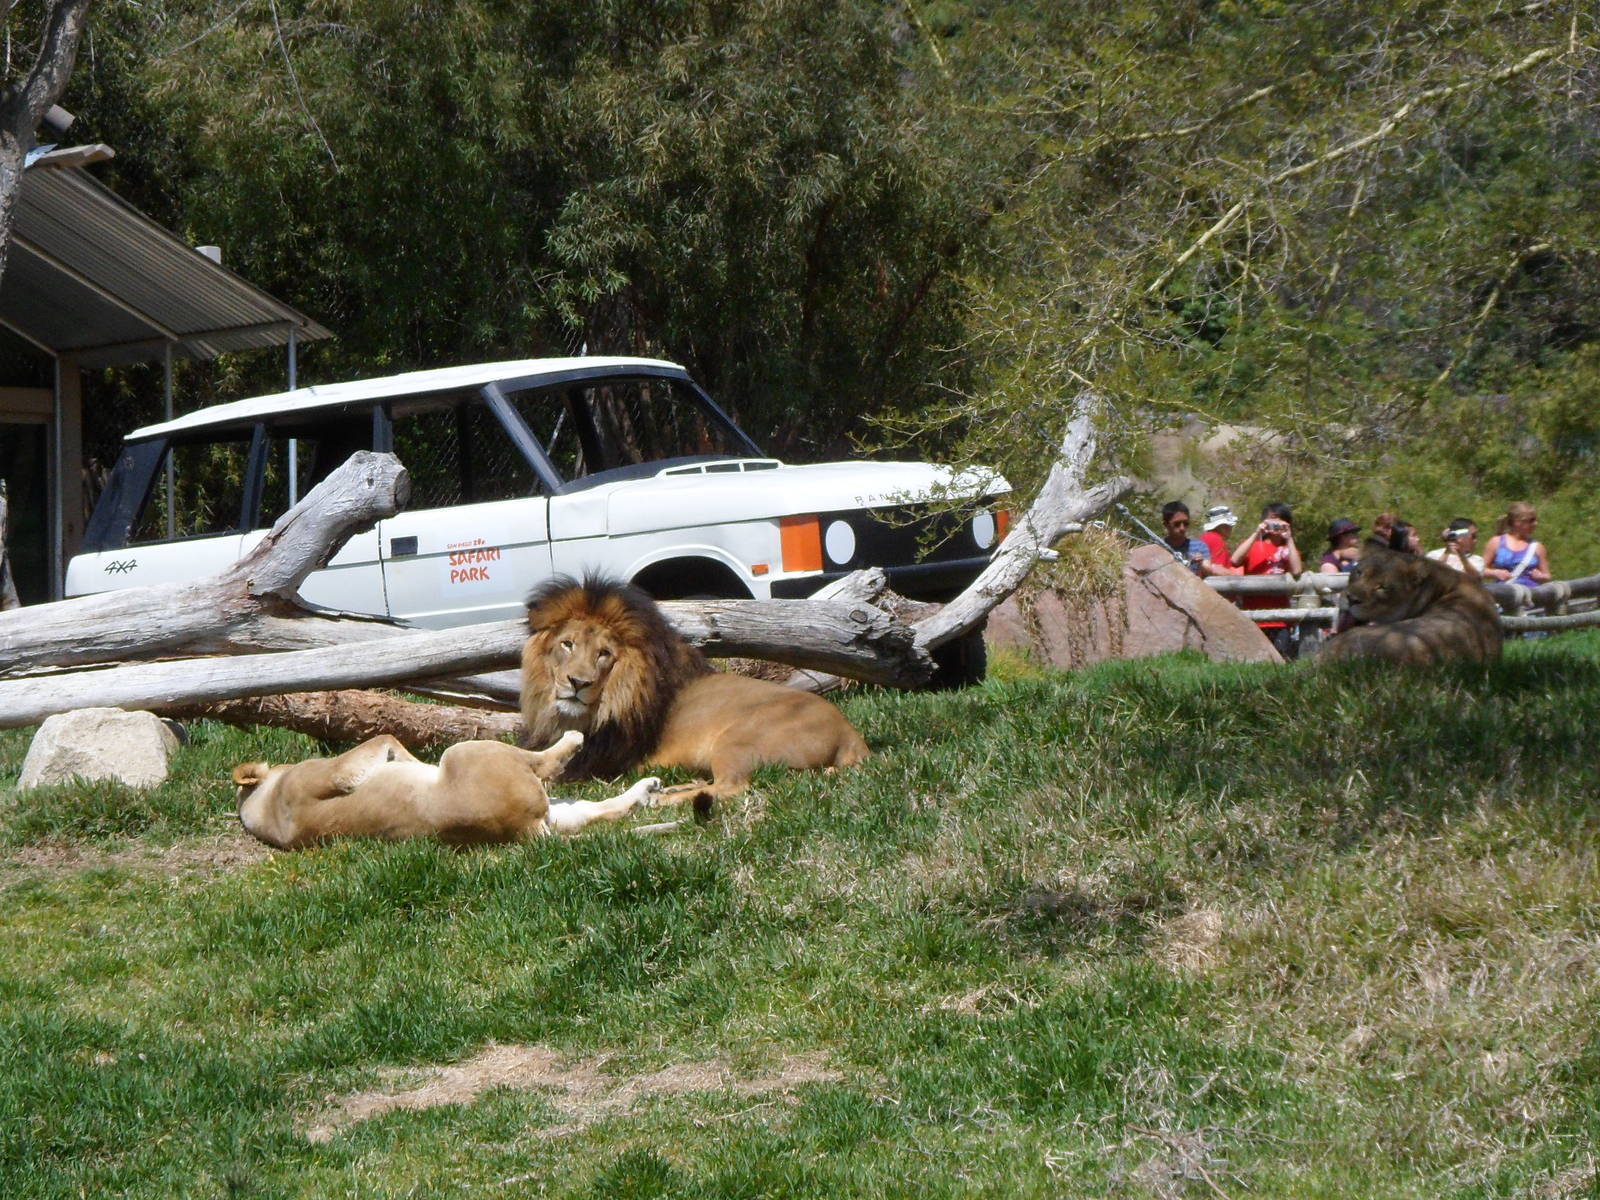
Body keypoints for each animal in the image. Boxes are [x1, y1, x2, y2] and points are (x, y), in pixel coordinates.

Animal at [231, 730, 666, 850]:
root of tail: (525, 831)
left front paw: (408, 761)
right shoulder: (331, 773)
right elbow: (382, 738)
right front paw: (407, 760)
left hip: (555, 812)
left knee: (604, 809)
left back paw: (647, 790)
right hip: (471, 751)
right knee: (546, 763)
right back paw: (573, 738)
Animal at [520, 576, 869, 806]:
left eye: (603, 654)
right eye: (567, 644)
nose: (578, 683)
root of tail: (851, 735)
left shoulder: (594, 764)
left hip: (736, 739)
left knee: (733, 787)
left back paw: (662, 800)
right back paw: (673, 789)